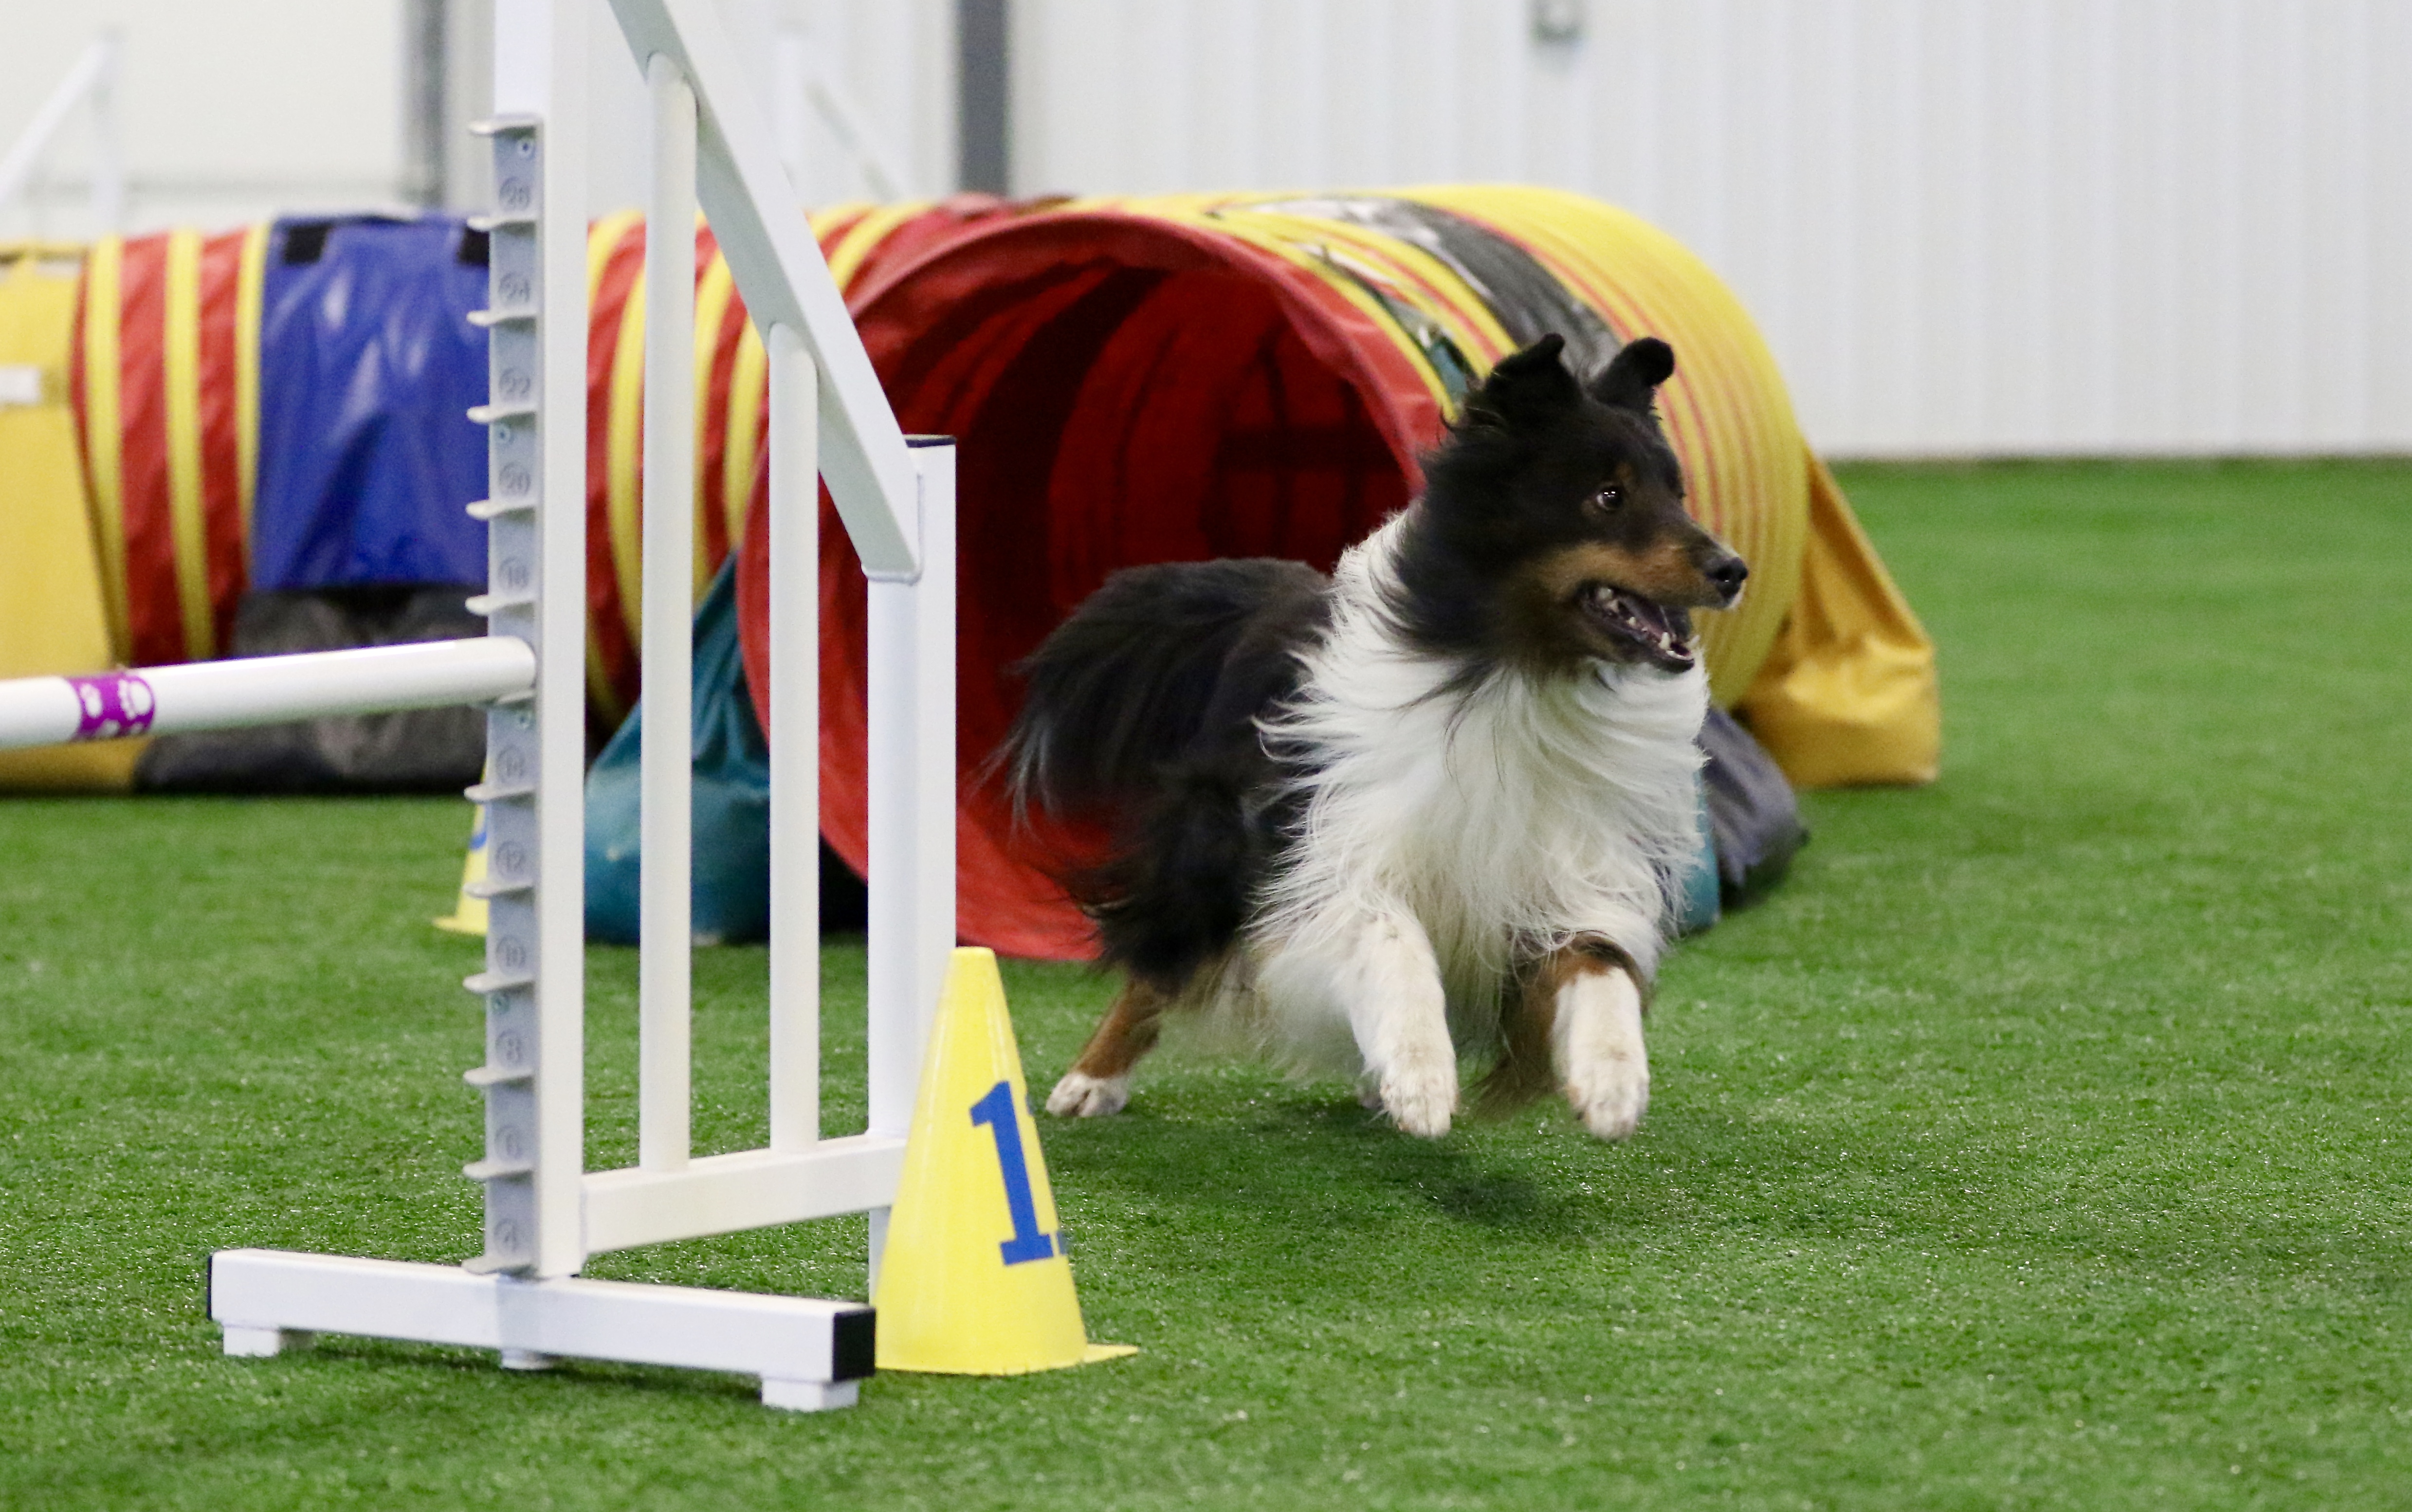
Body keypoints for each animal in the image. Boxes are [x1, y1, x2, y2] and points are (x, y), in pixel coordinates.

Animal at [1003, 332, 1746, 1140]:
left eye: (1676, 494)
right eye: (1609, 496)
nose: (1733, 569)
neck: (1519, 677)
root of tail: (1273, 598)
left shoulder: (1561, 874)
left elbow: (1601, 963)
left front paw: (1612, 1081)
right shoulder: (1335, 855)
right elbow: (1394, 940)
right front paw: (1421, 1077)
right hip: (1217, 852)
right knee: (1155, 960)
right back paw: (1089, 1081)